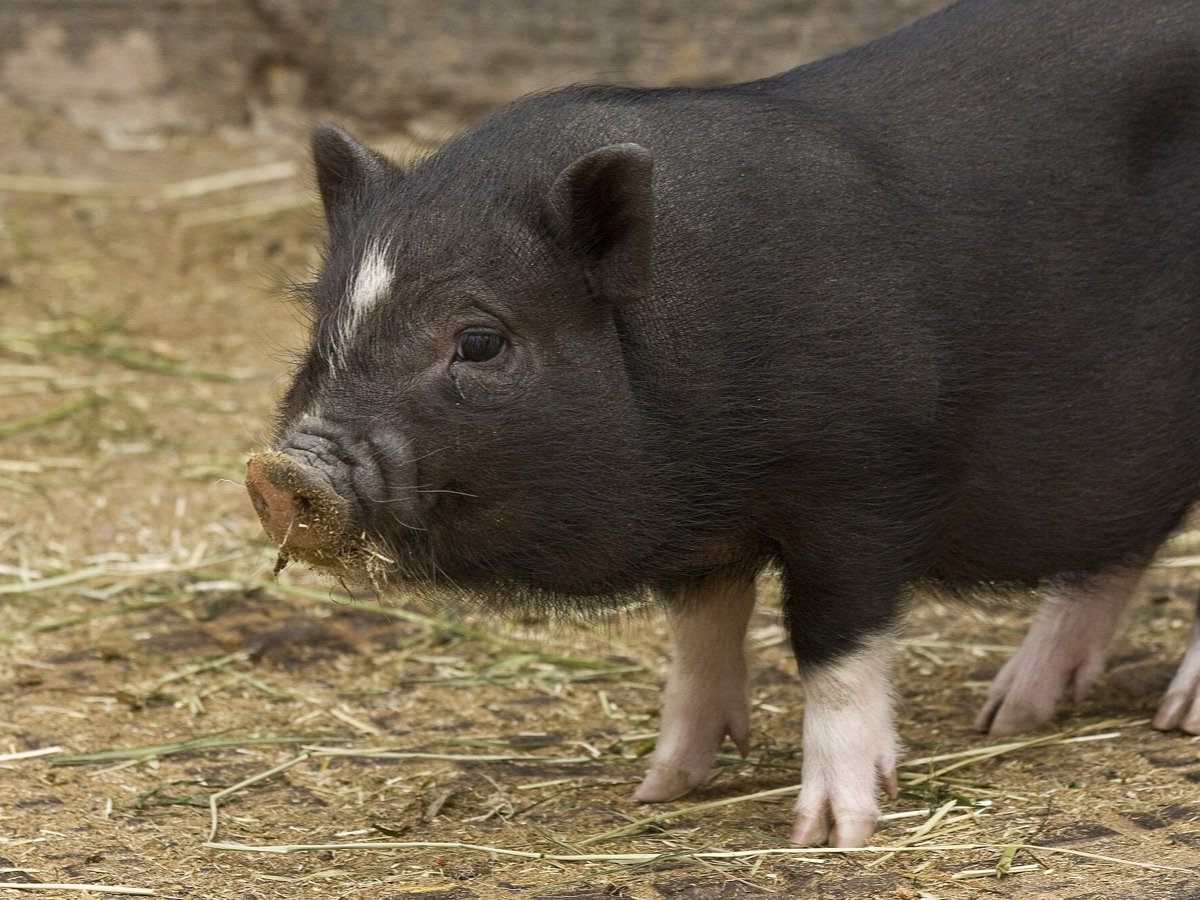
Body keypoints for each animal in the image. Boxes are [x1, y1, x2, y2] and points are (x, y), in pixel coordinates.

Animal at [245, 0, 1200, 848]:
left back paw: (1171, 720)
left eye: (479, 341)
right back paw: (1010, 714)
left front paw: (832, 833)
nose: (282, 471)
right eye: (323, 319)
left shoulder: (867, 480)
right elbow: (699, 633)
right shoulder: (701, 529)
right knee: (1117, 546)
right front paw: (659, 788)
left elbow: (833, 644)